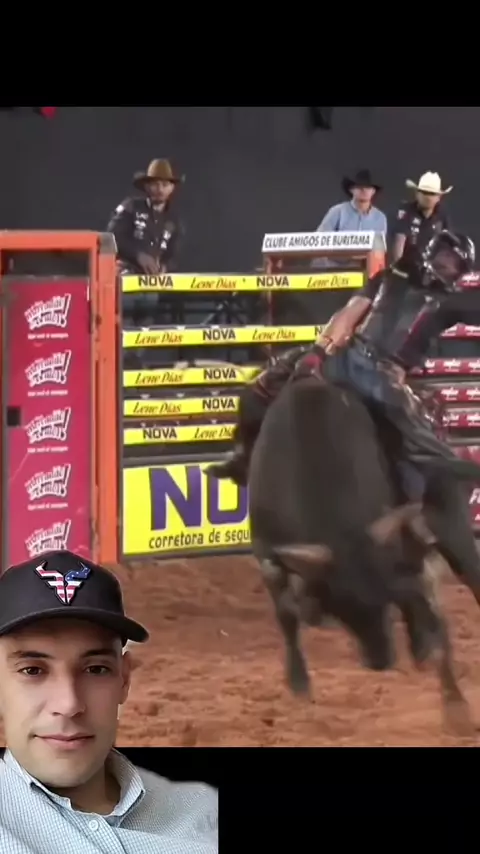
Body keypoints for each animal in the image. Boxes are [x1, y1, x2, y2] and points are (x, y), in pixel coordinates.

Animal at [248, 373, 473, 734]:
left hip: (449, 523)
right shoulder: (268, 552)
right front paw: (299, 683)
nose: (380, 660)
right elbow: (287, 613)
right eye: (342, 608)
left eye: (383, 602)